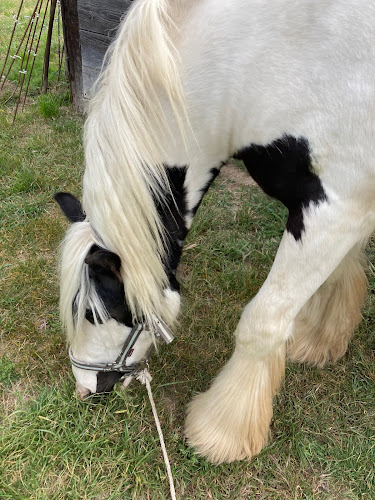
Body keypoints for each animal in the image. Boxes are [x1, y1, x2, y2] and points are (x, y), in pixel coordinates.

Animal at [54, 0, 375, 464]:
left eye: (93, 314)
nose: (84, 388)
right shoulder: (339, 205)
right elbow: (339, 273)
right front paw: (322, 339)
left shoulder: (336, 205)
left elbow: (264, 321)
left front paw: (221, 432)